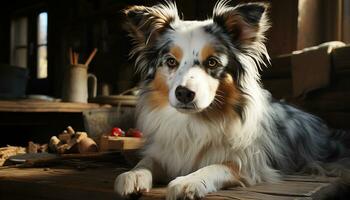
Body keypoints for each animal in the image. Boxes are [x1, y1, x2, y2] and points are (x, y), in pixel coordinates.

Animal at [114, 0, 348, 199]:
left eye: (212, 62)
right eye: (171, 61)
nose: (184, 93)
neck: (195, 121)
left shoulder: (250, 164)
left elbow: (215, 166)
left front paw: (188, 181)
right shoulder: (166, 152)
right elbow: (147, 161)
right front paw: (133, 175)